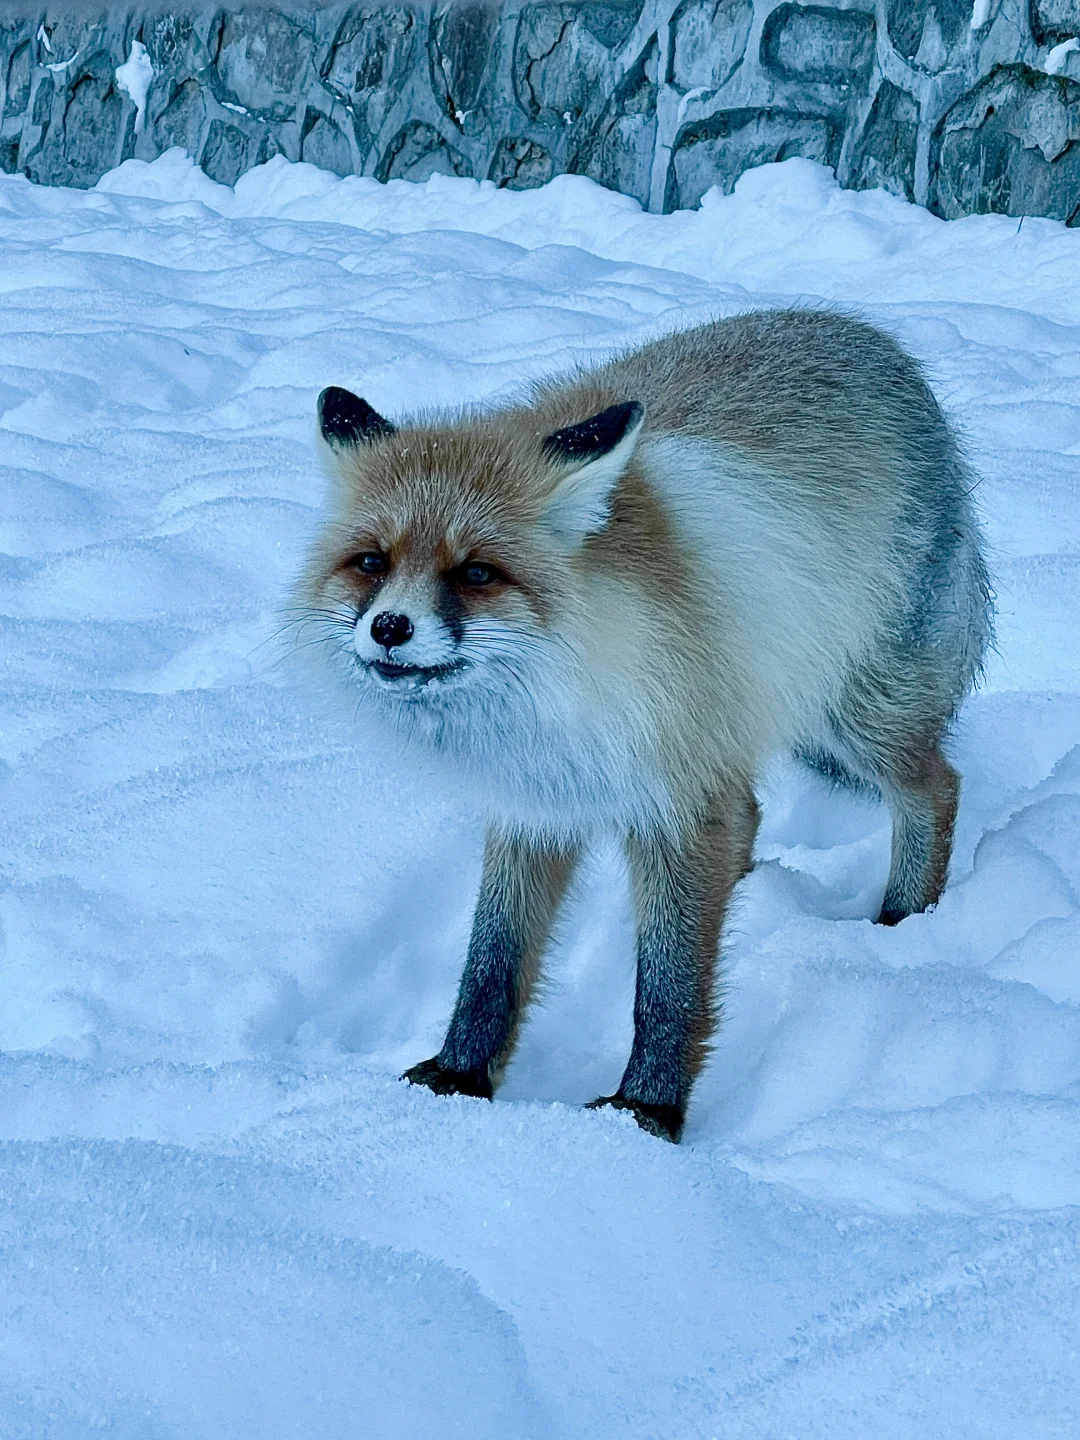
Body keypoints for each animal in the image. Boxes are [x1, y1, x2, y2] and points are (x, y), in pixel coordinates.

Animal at [300, 309, 996, 1140]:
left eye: (476, 573)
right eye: (372, 562)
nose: (389, 629)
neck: (560, 694)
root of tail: (868, 332)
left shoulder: (678, 801)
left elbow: (667, 986)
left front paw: (644, 1113)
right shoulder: (533, 804)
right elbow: (492, 961)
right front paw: (458, 1076)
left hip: (851, 712)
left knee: (938, 784)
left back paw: (904, 921)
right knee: (758, 811)